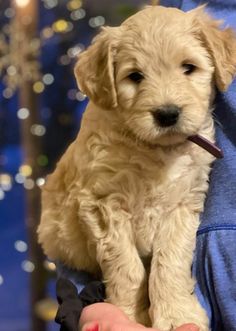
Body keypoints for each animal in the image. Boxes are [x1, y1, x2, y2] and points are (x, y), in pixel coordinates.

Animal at [37, 4, 236, 331]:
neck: (156, 150)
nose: (167, 114)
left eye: (188, 68)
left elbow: (170, 261)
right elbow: (125, 266)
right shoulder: (100, 203)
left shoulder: (183, 203)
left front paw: (177, 314)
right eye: (135, 76)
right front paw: (130, 315)